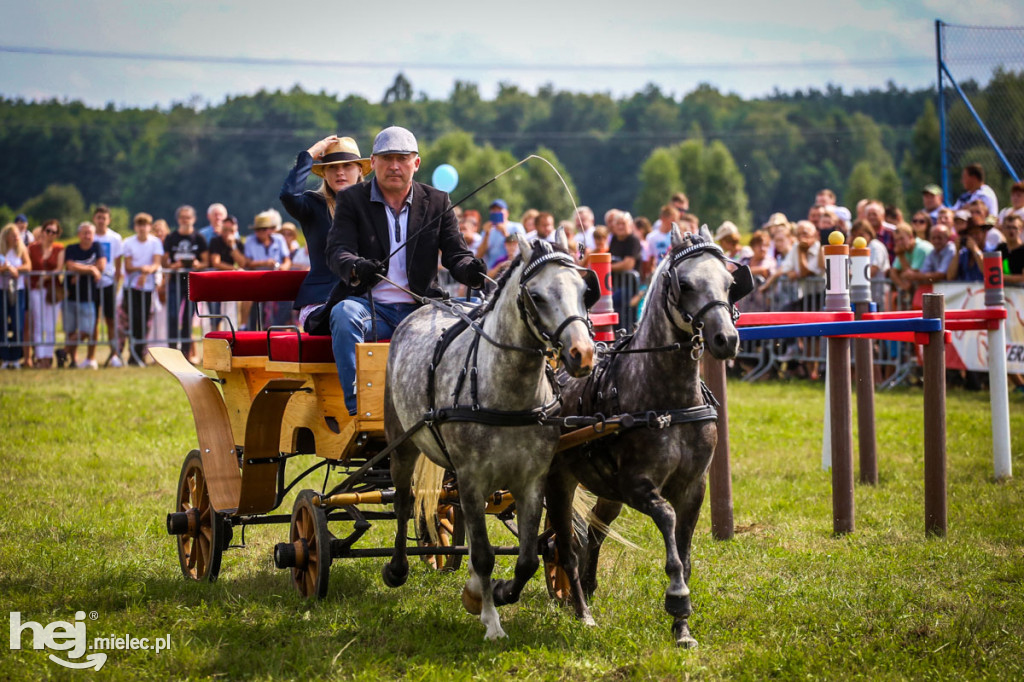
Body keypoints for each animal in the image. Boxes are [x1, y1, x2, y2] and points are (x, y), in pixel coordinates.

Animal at [380, 231, 598, 638]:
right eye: (537, 295)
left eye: (584, 289)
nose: (583, 354)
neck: (507, 392)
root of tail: (423, 308)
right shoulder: (471, 478)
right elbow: (483, 554)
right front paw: (492, 620)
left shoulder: (531, 481)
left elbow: (527, 559)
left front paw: (494, 593)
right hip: (401, 443)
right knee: (402, 501)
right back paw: (398, 568)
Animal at [548, 225, 749, 647]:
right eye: (685, 284)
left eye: (729, 283)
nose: (726, 339)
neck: (671, 401)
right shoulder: (637, 486)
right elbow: (669, 526)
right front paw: (677, 599)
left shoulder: (694, 487)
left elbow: (685, 555)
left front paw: (682, 626)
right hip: (557, 481)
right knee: (564, 545)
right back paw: (579, 608)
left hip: (605, 490)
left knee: (594, 530)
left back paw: (587, 588)